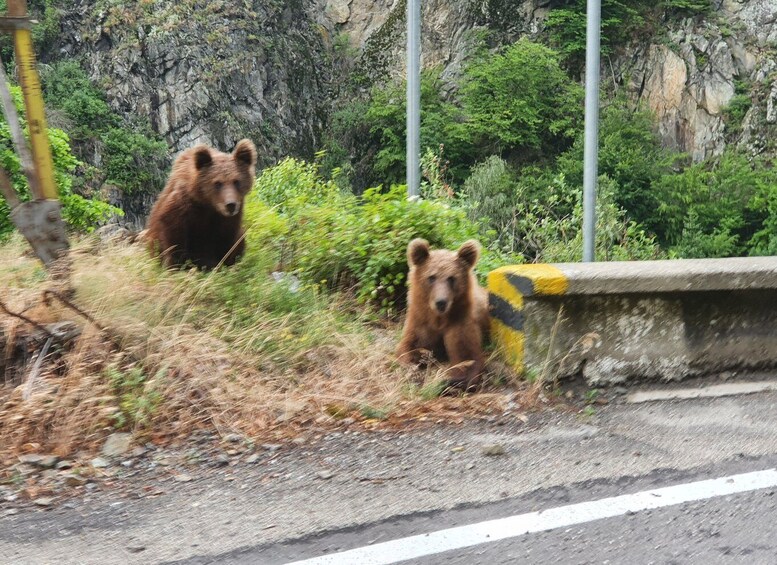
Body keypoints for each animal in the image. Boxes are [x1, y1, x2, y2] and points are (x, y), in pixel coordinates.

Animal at [144, 138, 256, 268]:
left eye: (236, 181)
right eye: (217, 183)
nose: (230, 205)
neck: (208, 203)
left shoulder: (227, 217)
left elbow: (227, 237)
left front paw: (223, 262)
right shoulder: (183, 205)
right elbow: (174, 234)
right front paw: (177, 264)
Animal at [398, 237, 488, 388]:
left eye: (452, 278)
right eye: (431, 277)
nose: (441, 302)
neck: (439, 319)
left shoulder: (460, 319)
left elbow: (467, 357)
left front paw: (448, 380)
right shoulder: (421, 320)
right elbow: (411, 347)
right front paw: (415, 373)